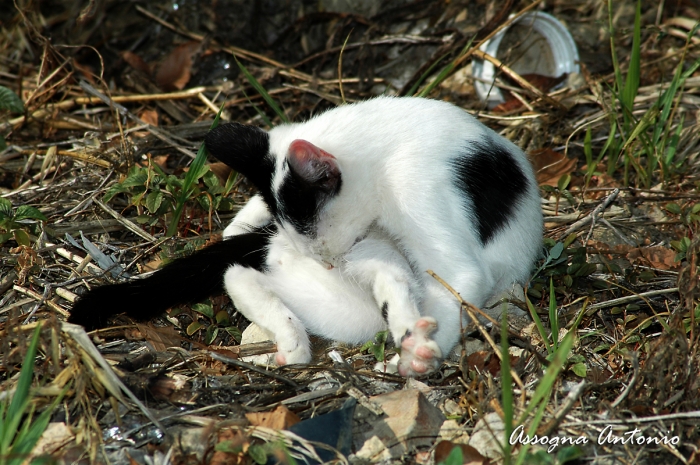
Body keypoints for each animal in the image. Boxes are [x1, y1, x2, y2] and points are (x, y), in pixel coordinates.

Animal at [68, 97, 540, 376]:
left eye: (317, 237)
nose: (326, 263)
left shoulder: (418, 186)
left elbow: (457, 280)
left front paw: (418, 354)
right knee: (241, 278)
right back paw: (292, 339)